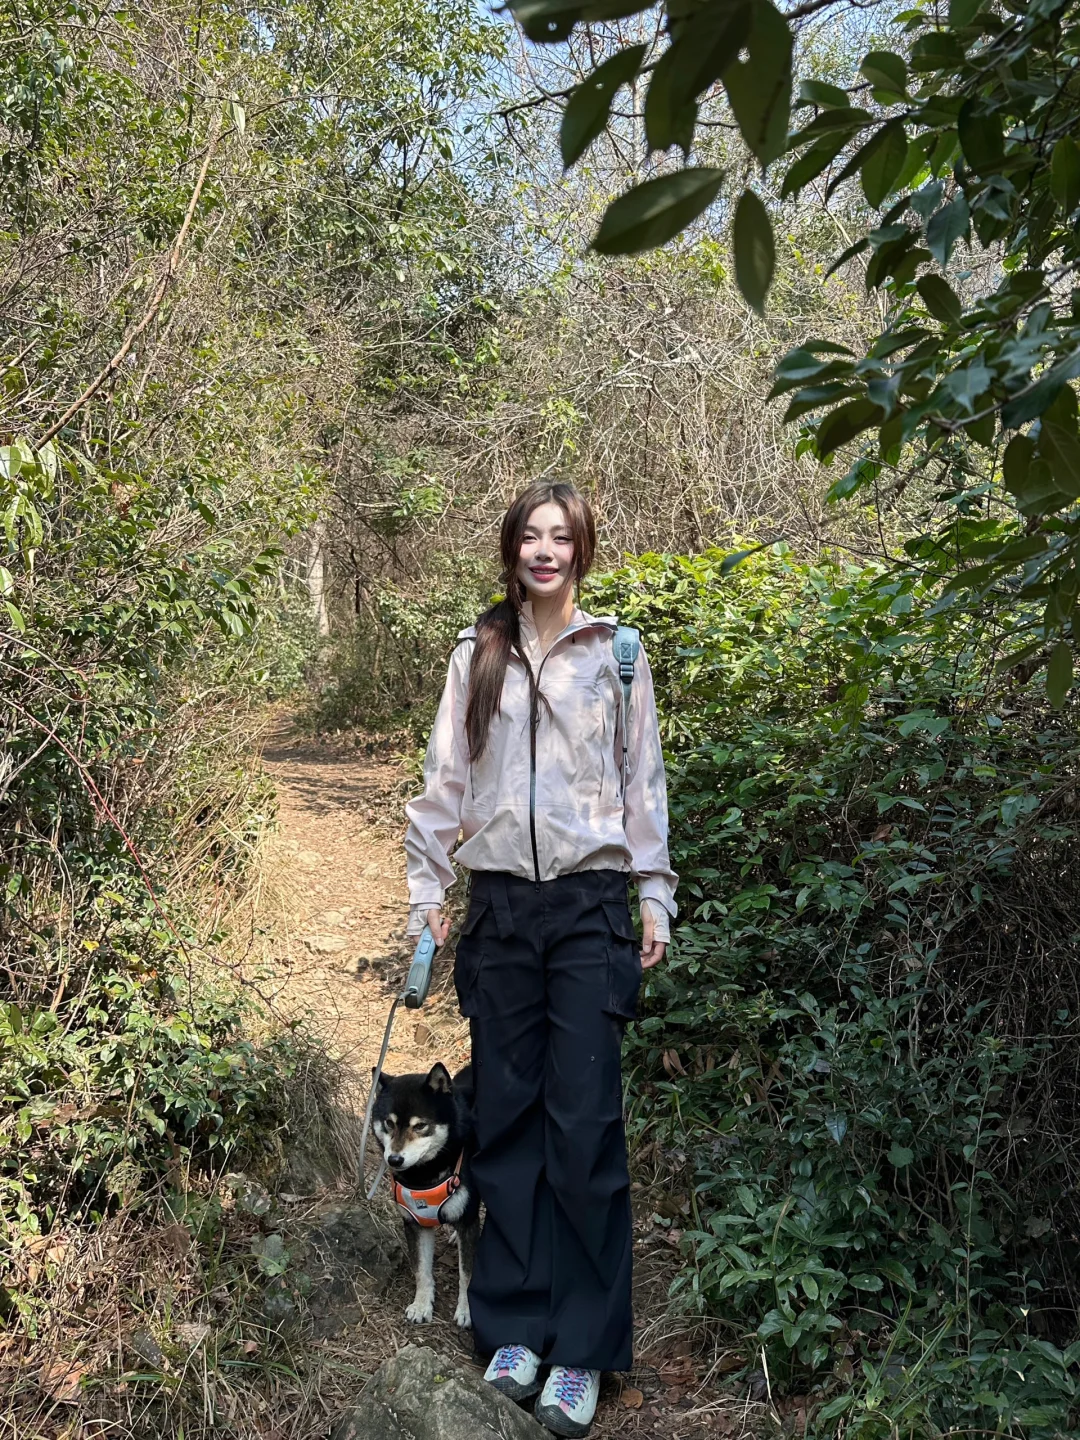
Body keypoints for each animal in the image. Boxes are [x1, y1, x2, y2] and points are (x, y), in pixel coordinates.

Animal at [371, 1059, 478, 1324]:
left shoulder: (468, 1218)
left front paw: (467, 1310)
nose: (394, 1159)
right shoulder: (415, 1223)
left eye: (420, 1126)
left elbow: (467, 1275)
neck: (424, 1176)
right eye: (389, 1123)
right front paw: (421, 1305)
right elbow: (421, 1270)